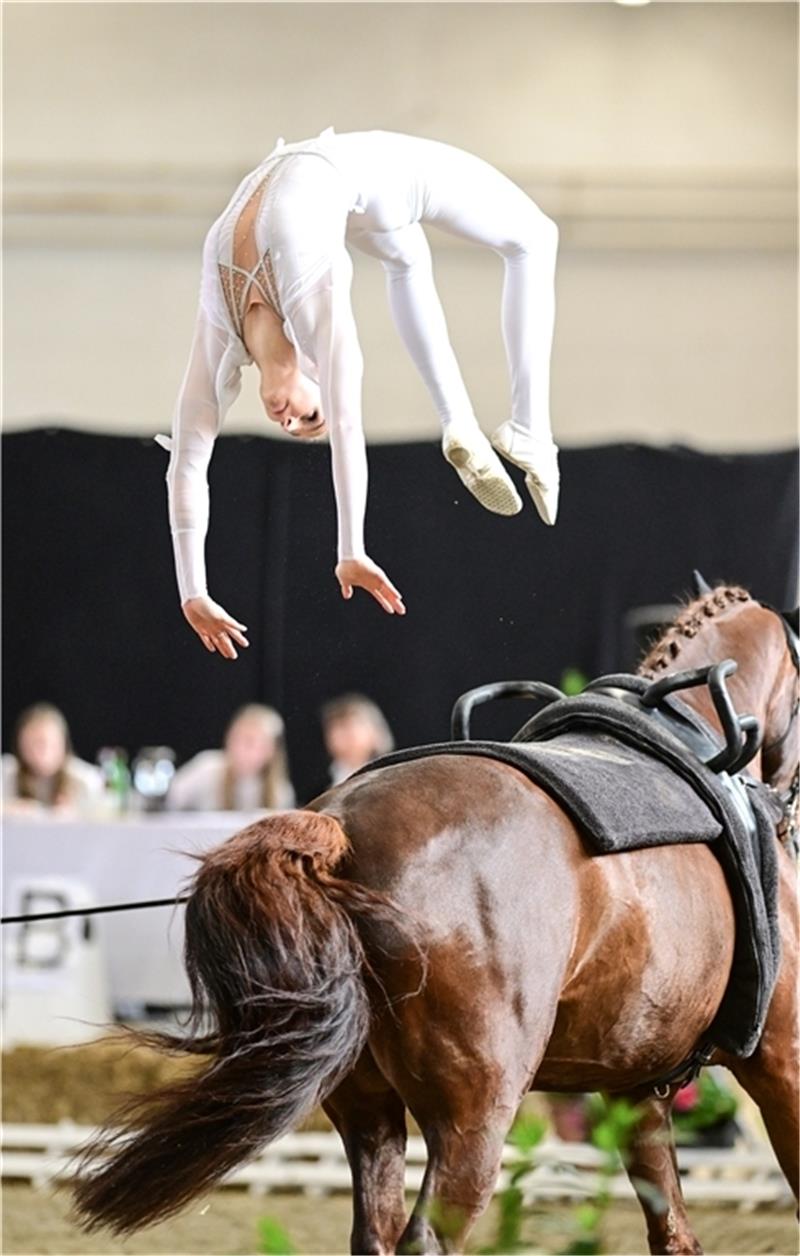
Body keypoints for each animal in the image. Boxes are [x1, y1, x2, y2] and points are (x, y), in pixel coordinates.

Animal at [71, 587, 793, 1256]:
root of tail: (341, 827)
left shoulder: (633, 1085)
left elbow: (672, 1227)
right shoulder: (780, 1060)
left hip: (366, 1103)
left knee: (376, 1229)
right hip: (475, 1113)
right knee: (429, 1235)